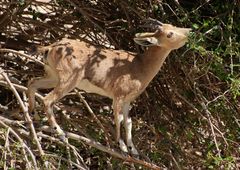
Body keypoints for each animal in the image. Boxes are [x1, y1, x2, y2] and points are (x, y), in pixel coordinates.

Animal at [27, 18, 191, 155]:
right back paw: (59, 132)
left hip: (53, 77)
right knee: (47, 100)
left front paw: (133, 150)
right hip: (68, 80)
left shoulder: (127, 100)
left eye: (172, 26)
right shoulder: (118, 96)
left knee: (32, 82)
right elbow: (118, 119)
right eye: (169, 34)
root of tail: (51, 47)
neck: (140, 66)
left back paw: (34, 115)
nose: (189, 32)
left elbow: (128, 122)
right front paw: (122, 146)